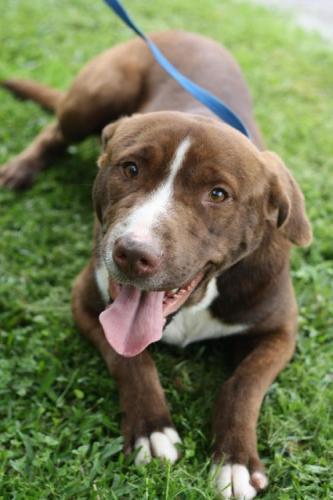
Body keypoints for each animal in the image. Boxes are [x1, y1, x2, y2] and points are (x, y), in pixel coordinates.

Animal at [0, 30, 312, 496]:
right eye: (130, 168)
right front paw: (151, 429)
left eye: (218, 194)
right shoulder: (87, 300)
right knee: (56, 130)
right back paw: (21, 168)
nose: (131, 253)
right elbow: (130, 360)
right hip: (97, 93)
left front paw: (235, 460)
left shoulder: (280, 331)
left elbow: (243, 384)